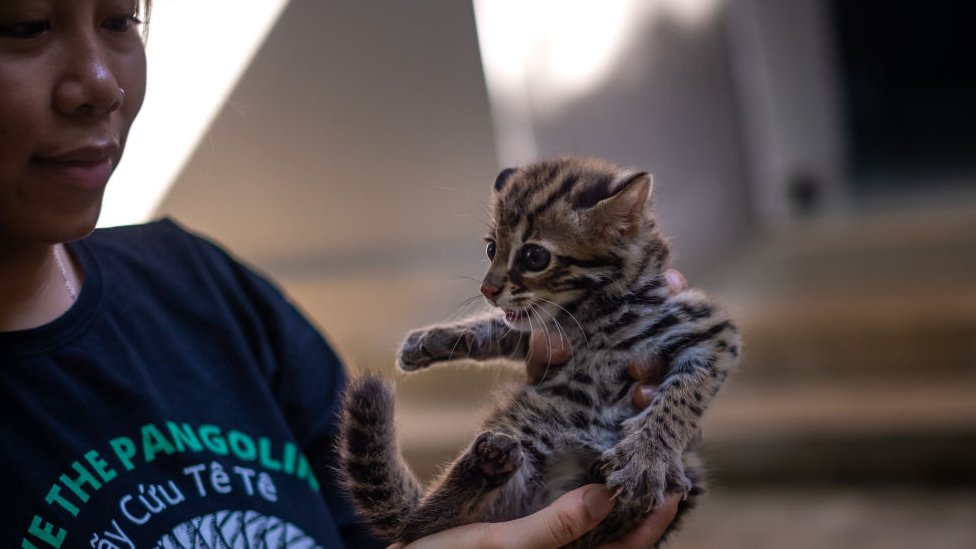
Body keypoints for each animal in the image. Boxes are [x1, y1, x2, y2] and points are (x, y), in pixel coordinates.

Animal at [340, 156, 736, 544]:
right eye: (491, 249)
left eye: (534, 256)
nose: (487, 290)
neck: (590, 312)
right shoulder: (541, 333)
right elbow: (496, 328)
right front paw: (427, 340)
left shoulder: (708, 329)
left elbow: (681, 397)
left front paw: (647, 457)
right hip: (525, 429)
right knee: (423, 523)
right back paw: (483, 466)